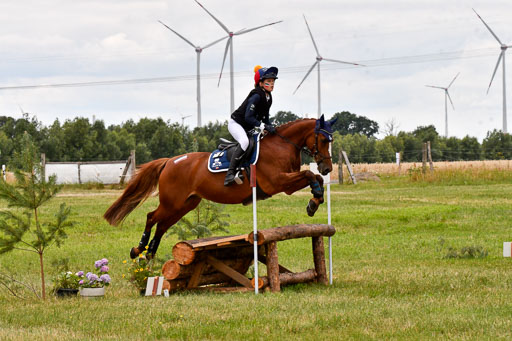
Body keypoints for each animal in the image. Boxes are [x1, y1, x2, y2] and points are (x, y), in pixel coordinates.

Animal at [104, 115, 336, 256]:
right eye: (324, 140)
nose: (327, 168)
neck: (282, 144)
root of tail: (170, 161)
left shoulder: (286, 182)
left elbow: (314, 177)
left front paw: (315, 200)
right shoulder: (278, 182)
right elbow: (309, 174)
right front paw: (314, 201)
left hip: (185, 204)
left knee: (162, 225)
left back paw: (150, 254)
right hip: (172, 202)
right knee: (152, 217)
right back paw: (139, 250)